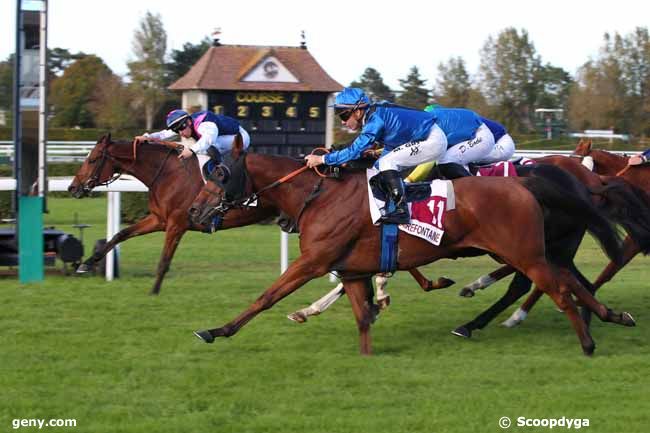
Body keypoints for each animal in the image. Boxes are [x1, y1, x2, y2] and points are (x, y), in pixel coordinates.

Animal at [187, 138, 632, 354]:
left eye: (220, 173)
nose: (193, 210)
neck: (320, 195)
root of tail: (526, 182)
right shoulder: (352, 267)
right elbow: (362, 313)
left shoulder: (314, 261)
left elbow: (267, 296)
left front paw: (217, 330)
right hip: (538, 249)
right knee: (569, 281)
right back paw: (611, 315)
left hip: (525, 251)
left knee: (554, 286)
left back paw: (585, 341)